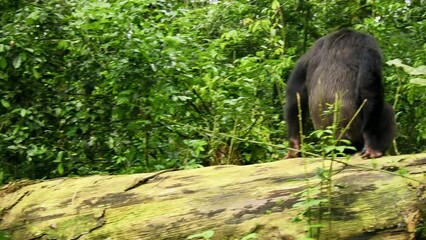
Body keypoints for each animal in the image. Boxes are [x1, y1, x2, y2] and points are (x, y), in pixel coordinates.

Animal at [284, 29, 398, 158]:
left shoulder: (309, 54)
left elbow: (296, 91)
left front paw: (294, 145)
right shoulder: (369, 45)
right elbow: (368, 87)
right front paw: (372, 144)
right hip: (353, 136)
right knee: (387, 110)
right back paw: (376, 149)